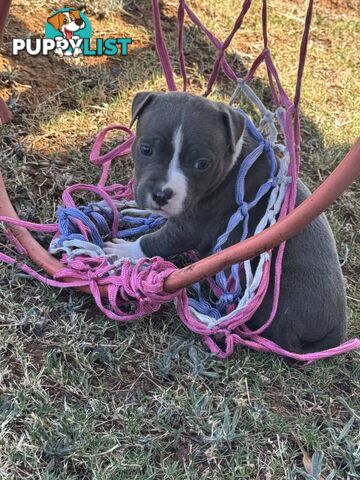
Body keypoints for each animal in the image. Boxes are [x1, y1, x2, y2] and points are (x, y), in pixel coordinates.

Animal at [104, 92, 346, 352]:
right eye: (146, 149)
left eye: (202, 164)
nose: (161, 194)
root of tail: (334, 334)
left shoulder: (192, 227)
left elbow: (156, 242)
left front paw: (124, 251)